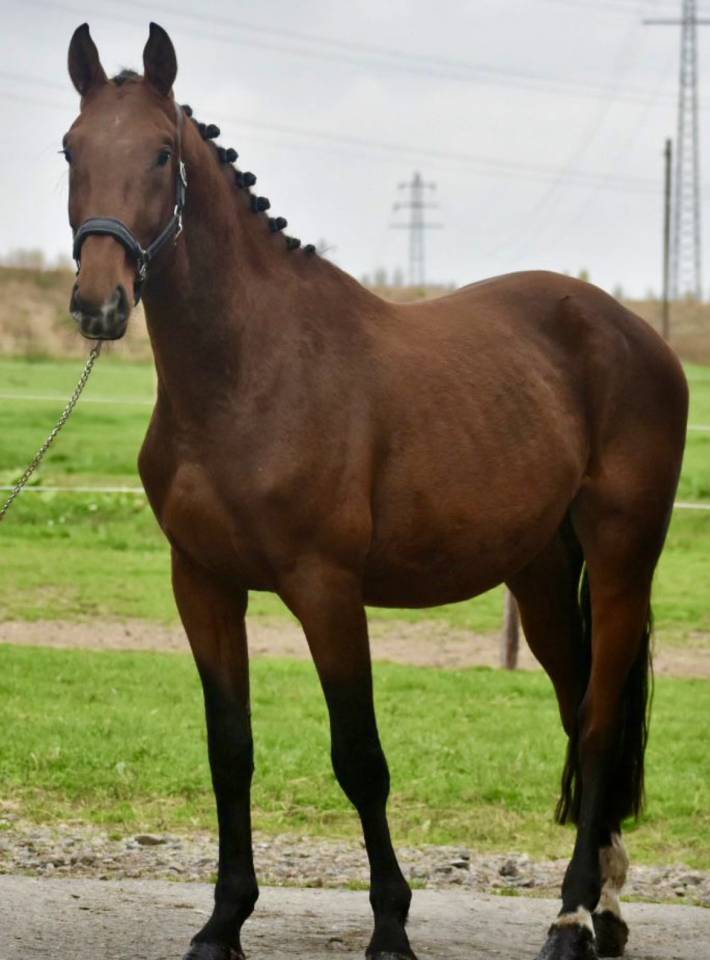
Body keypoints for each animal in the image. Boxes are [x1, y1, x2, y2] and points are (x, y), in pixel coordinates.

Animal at [63, 22, 688, 960]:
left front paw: (391, 925)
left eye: (163, 153)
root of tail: (632, 332)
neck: (250, 374)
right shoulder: (202, 585)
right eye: (71, 148)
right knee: (578, 712)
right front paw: (222, 921)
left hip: (621, 562)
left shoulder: (326, 589)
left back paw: (570, 918)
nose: (98, 304)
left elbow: (359, 756)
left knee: (601, 723)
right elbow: (229, 749)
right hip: (542, 578)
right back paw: (604, 908)